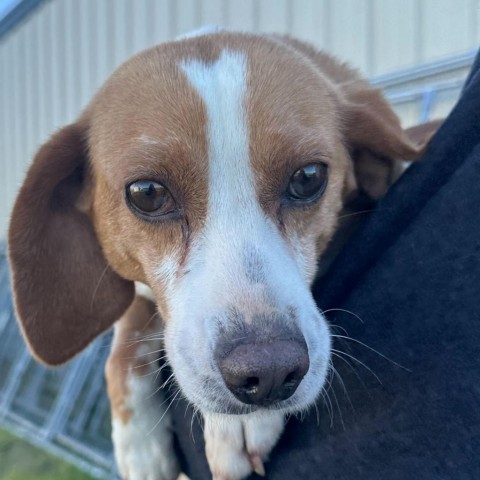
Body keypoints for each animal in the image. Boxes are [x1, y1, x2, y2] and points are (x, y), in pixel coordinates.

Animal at [7, 31, 432, 480]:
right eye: (147, 193)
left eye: (308, 177)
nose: (269, 372)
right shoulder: (142, 293)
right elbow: (126, 335)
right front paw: (136, 442)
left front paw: (238, 424)